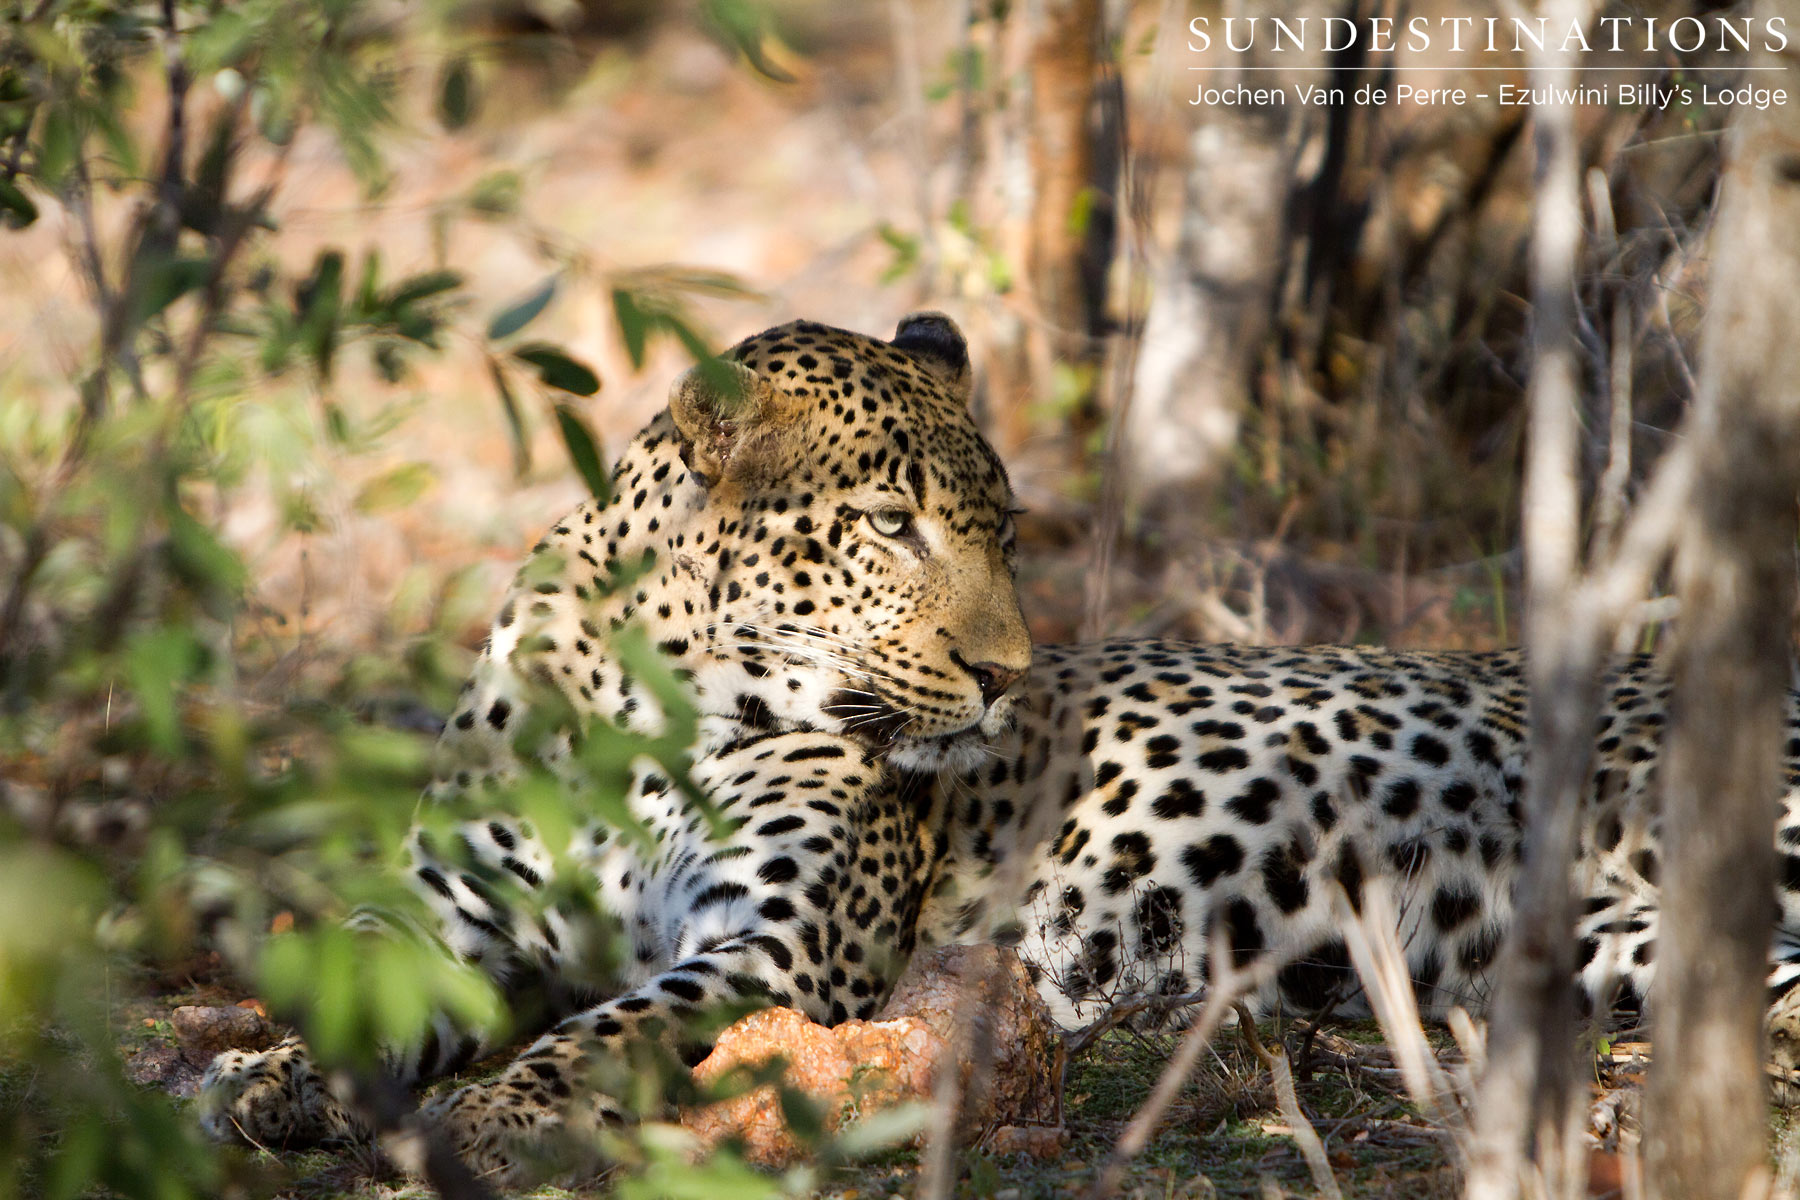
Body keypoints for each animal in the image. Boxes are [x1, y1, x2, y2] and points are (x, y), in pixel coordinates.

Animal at [197, 313, 1800, 1180]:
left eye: (1008, 531)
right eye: (888, 527)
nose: (1008, 674)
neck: (645, 701)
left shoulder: (783, 952)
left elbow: (619, 1024)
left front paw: (501, 1111)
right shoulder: (455, 909)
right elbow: (346, 961)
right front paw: (266, 1076)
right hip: (1623, 940)